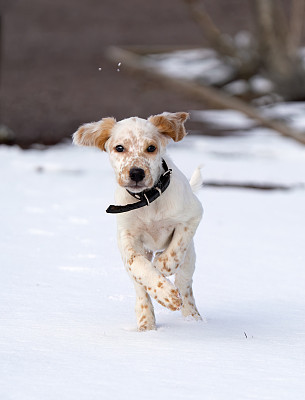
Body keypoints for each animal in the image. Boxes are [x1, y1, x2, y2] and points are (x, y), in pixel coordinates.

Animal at [72, 111, 203, 332]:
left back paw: (193, 320)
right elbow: (138, 265)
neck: (147, 200)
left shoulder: (193, 215)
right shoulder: (127, 238)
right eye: (119, 148)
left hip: (190, 260)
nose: (136, 173)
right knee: (139, 285)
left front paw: (162, 267)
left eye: (151, 148)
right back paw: (146, 323)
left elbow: (174, 250)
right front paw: (165, 294)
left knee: (185, 284)